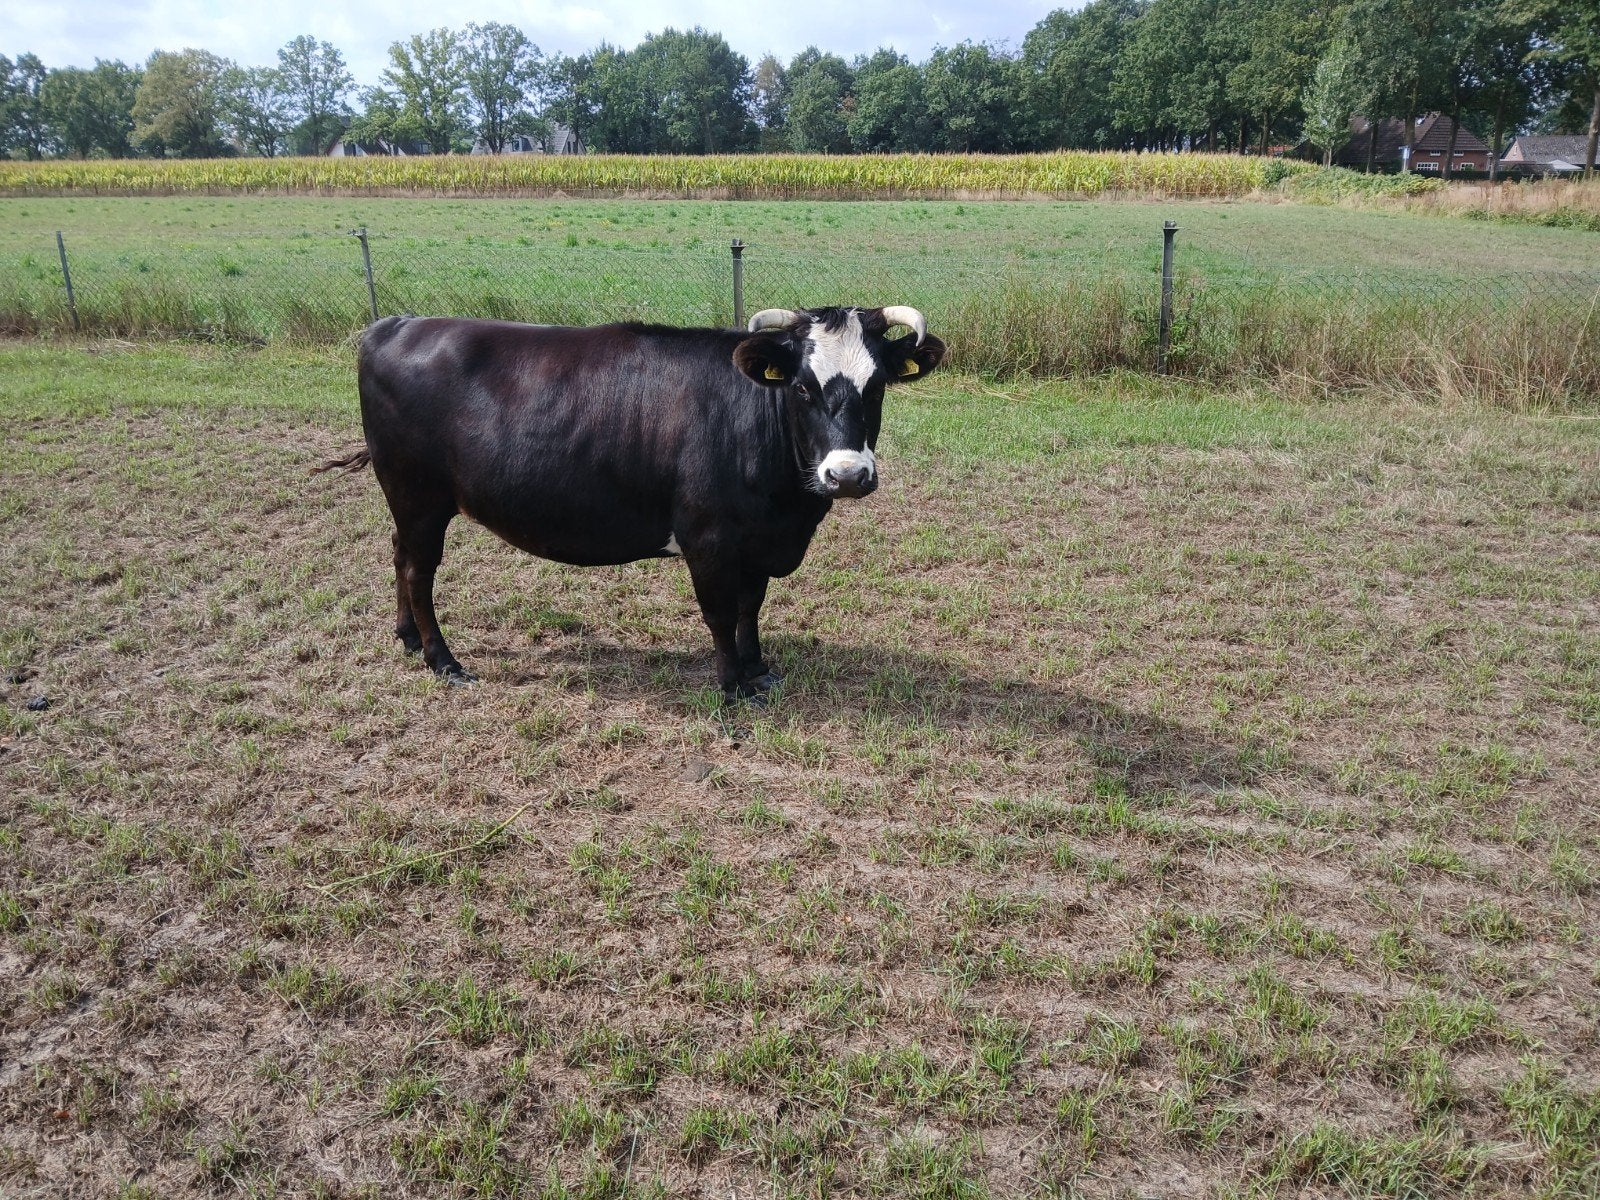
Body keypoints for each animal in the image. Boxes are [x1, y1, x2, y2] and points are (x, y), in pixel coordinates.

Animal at [317, 306, 946, 701]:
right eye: (801, 387)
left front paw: (758, 670)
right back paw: (442, 660)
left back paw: (405, 638)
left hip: (407, 502)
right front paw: (731, 687)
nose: (847, 475)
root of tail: (394, 324)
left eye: (877, 387)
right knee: (420, 570)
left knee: (399, 555)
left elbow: (751, 608)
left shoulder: (755, 542)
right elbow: (720, 613)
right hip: (418, 495)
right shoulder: (708, 538)